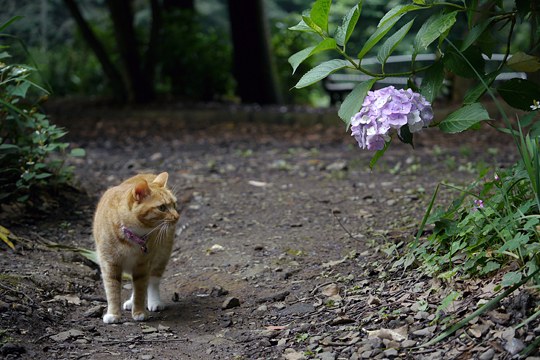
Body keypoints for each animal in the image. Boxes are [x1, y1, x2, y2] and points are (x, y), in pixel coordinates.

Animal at [92, 172, 178, 324]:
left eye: (174, 204)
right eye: (162, 208)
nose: (177, 216)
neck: (131, 234)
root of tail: (147, 173)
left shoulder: (142, 265)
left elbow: (140, 290)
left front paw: (139, 312)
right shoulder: (109, 264)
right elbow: (112, 290)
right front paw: (113, 314)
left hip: (161, 256)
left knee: (152, 281)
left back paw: (154, 301)